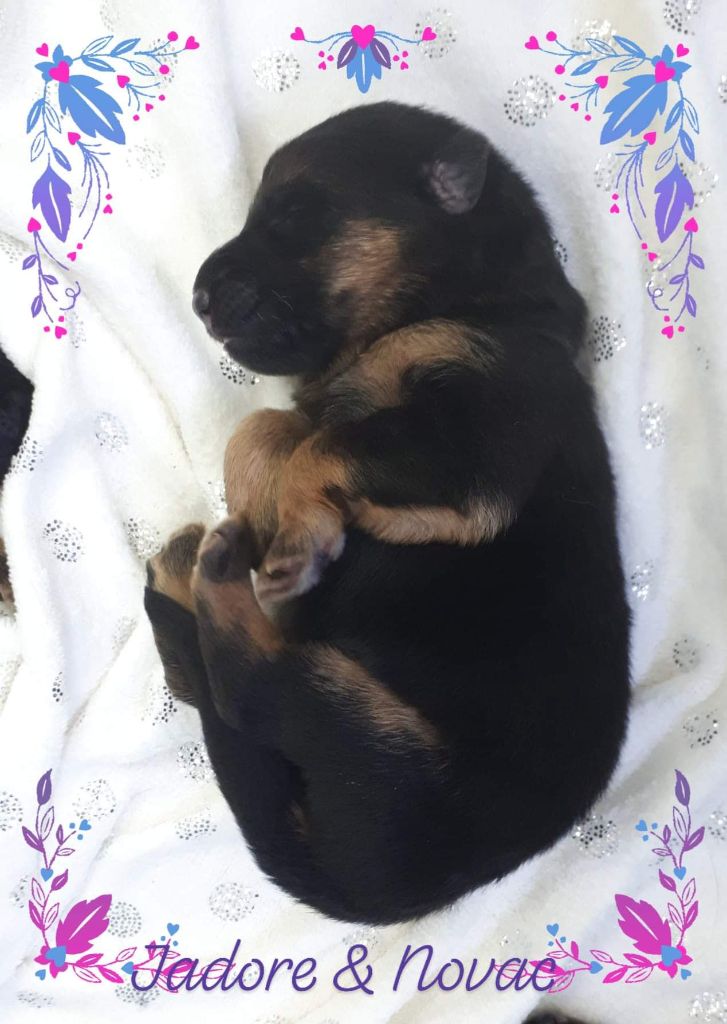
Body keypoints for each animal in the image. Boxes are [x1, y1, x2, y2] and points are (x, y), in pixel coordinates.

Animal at [143, 101, 630, 929]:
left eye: (294, 217)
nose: (200, 299)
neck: (463, 304)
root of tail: (365, 888)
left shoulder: (472, 443)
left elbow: (321, 445)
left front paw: (295, 539)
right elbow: (264, 429)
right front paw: (270, 505)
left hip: (380, 739)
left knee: (241, 688)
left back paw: (213, 570)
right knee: (200, 682)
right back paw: (189, 571)